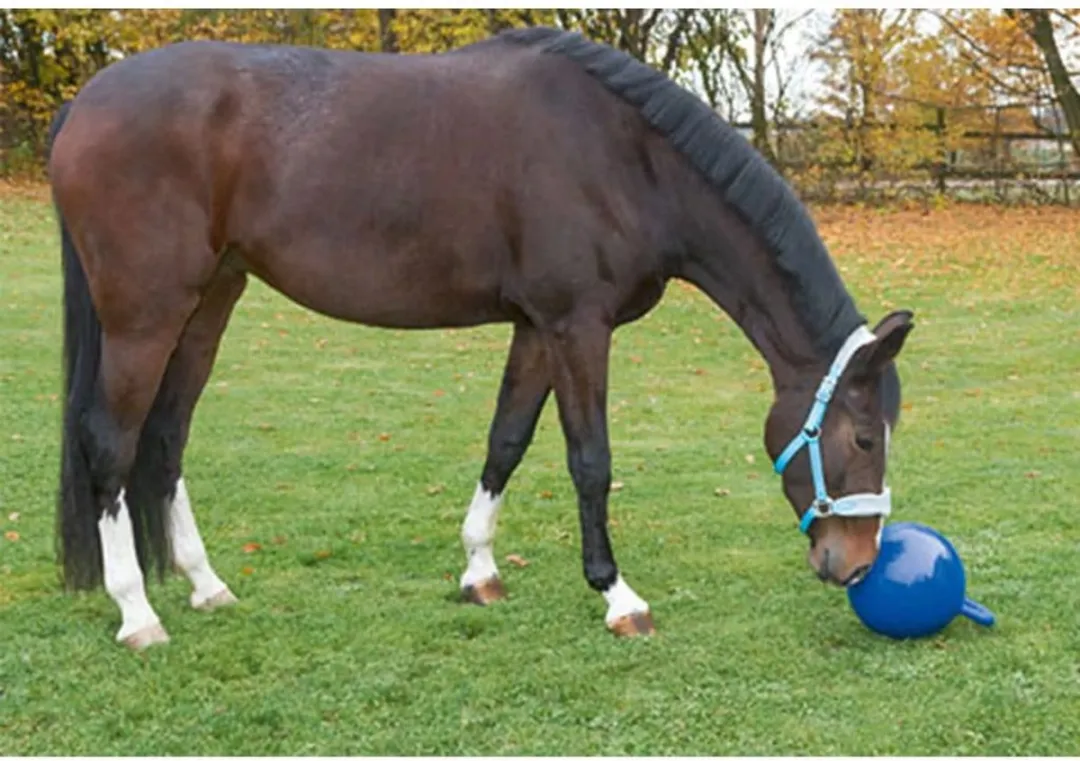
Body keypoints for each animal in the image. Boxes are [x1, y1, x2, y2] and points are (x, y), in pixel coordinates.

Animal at [47, 26, 913, 650]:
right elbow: (590, 460)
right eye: (864, 437)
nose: (856, 563)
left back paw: (205, 584)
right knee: (110, 444)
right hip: (144, 315)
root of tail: (86, 102)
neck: (627, 160)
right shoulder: (577, 326)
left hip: (209, 303)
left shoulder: (536, 328)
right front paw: (617, 594)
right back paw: (137, 613)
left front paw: (479, 570)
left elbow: (507, 440)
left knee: (166, 438)